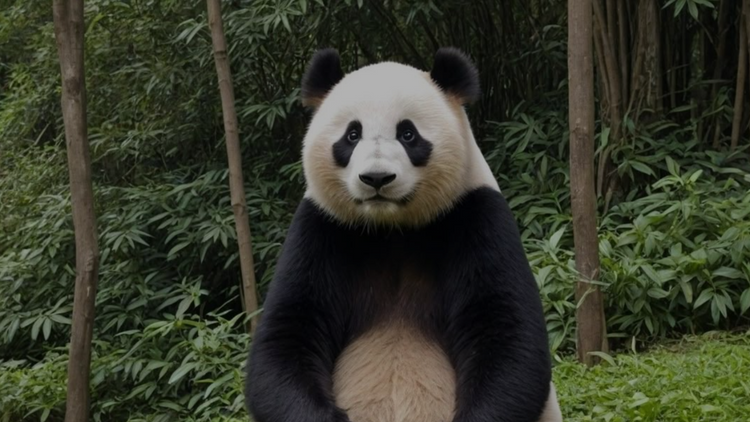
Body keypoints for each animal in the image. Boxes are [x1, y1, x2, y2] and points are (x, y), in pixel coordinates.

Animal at [244, 47, 563, 422]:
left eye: (408, 134)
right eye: (352, 135)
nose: (376, 178)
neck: (392, 228)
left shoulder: (477, 215)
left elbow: (505, 334)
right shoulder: (321, 228)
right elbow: (286, 336)